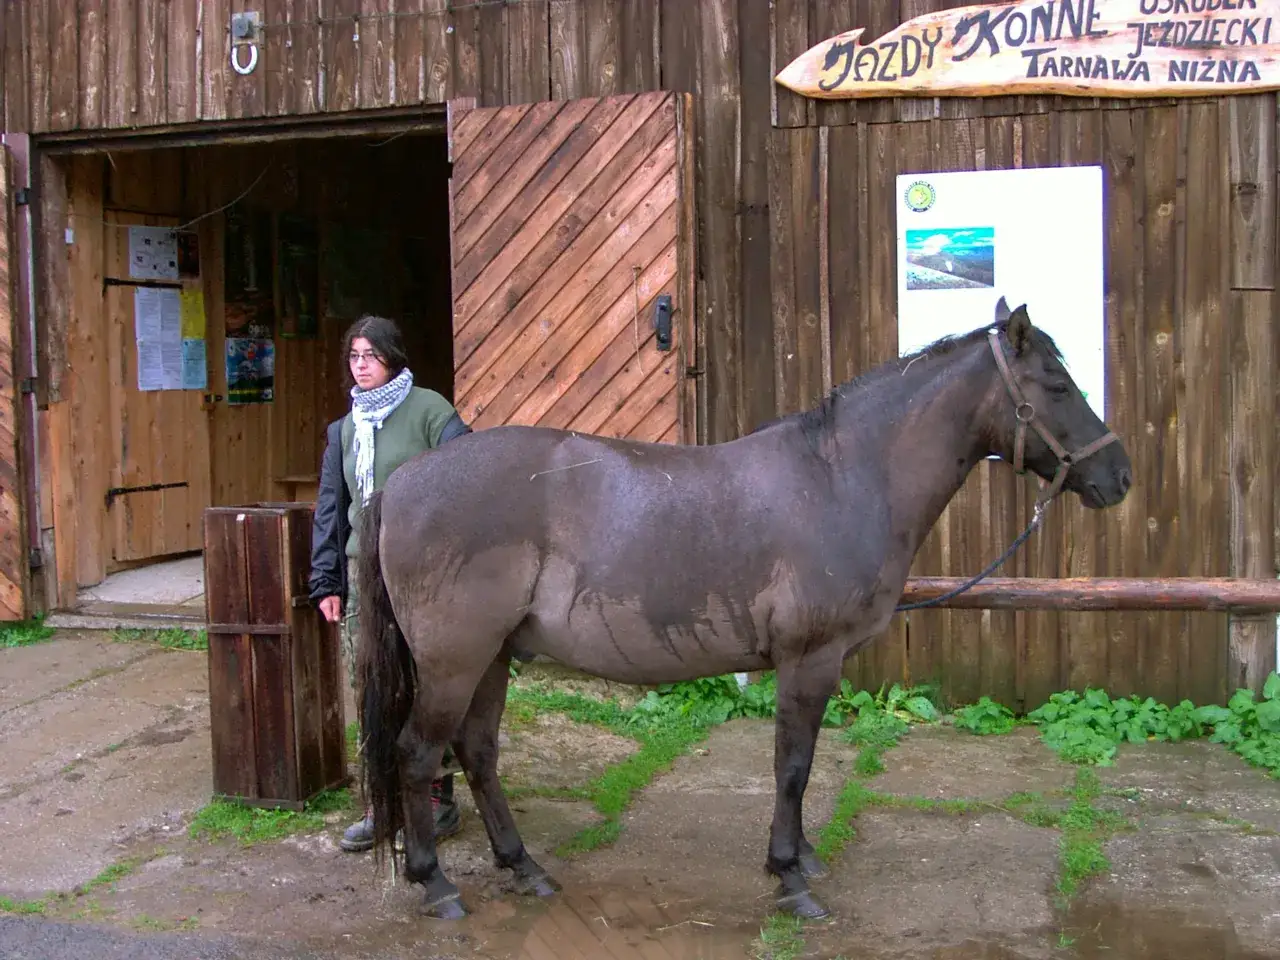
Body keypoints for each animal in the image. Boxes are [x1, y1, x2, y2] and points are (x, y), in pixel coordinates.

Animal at [353, 297, 1133, 921]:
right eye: (1057, 384)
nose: (1119, 474)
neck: (841, 477)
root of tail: (403, 481)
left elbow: (802, 764)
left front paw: (802, 856)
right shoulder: (808, 661)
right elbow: (793, 765)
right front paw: (791, 876)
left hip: (492, 657)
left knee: (477, 752)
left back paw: (523, 866)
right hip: (455, 661)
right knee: (417, 754)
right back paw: (435, 884)